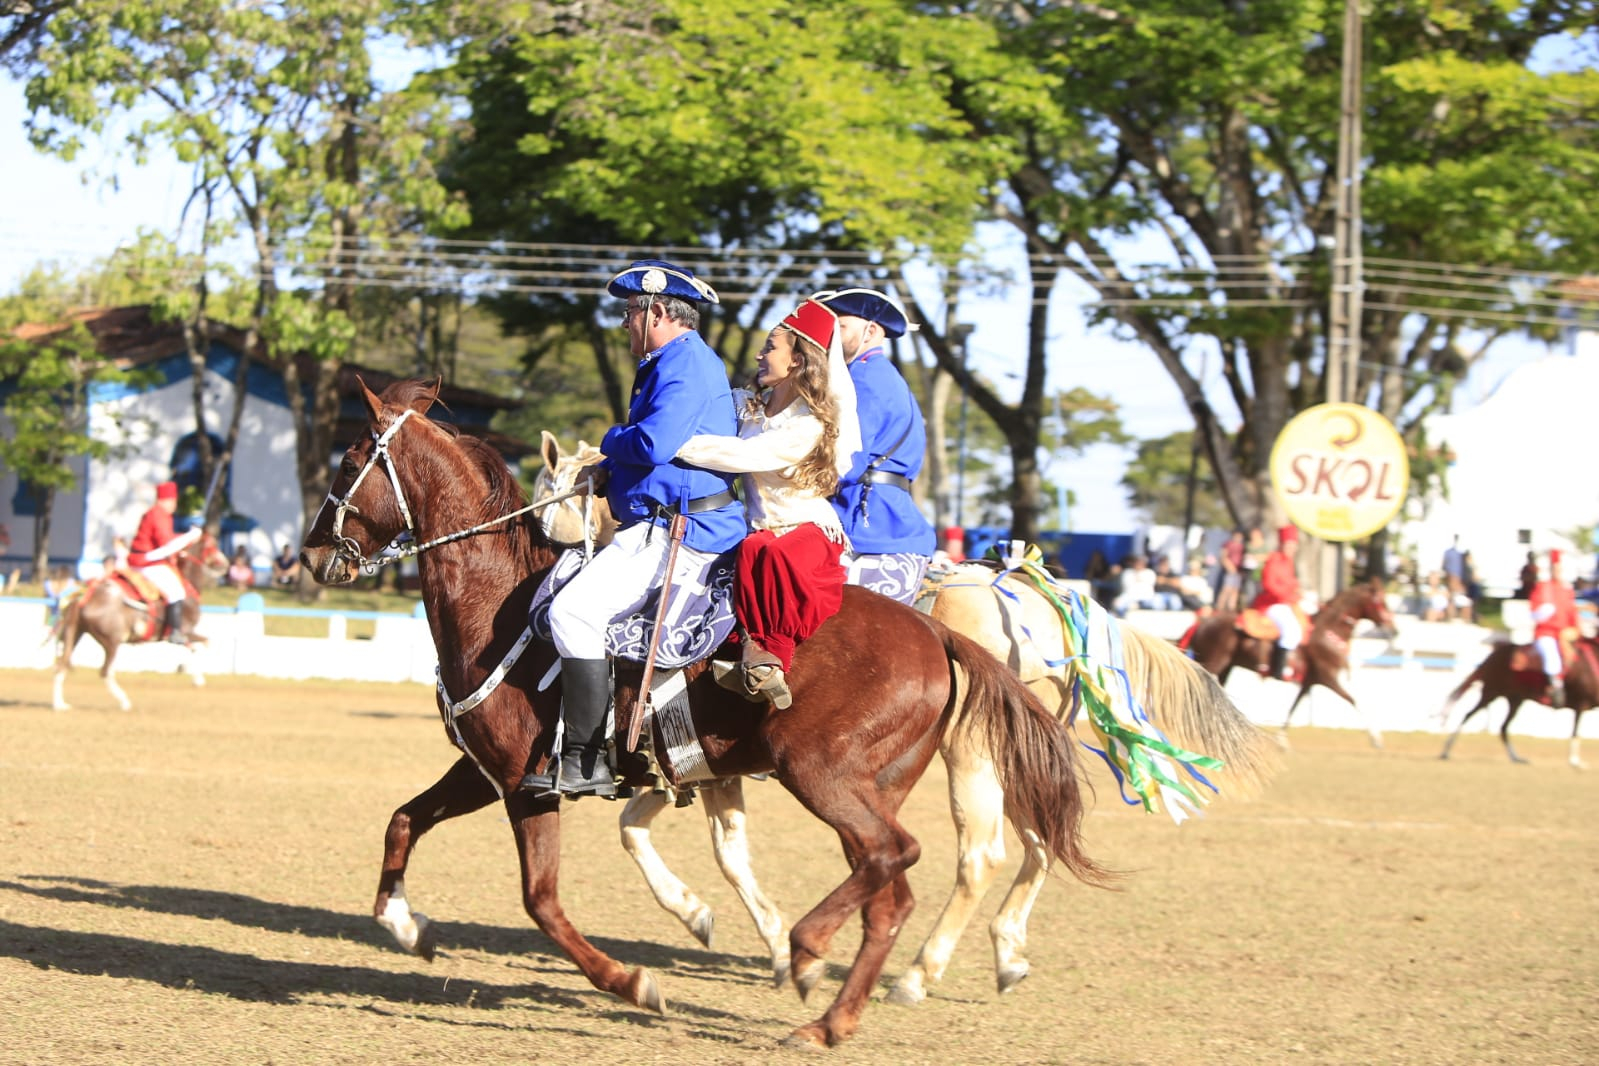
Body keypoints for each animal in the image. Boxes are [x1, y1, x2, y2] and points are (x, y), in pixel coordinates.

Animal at [50, 530, 227, 712]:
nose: (225, 564)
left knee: (61, 666)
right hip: (112, 641)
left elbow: (197, 646)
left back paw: (59, 704)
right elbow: (202, 645)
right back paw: (124, 702)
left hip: (75, 633)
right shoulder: (184, 632)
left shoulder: (182, 635)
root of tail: (85, 596)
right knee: (105, 672)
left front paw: (188, 670)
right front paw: (197, 677)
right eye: (212, 544)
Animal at [297, 378, 1112, 1048]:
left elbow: (545, 900)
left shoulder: (536, 786)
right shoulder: (490, 771)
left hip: (830, 771)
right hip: (877, 784)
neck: (498, 603)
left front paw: (636, 979)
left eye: (348, 460)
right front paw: (407, 926)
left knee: (920, 856)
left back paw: (821, 953)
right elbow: (404, 820)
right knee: (903, 887)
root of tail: (938, 628)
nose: (307, 558)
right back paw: (837, 1014)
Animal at [530, 428, 1279, 1003]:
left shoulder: (693, 759)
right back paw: (1005, 952)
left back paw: (918, 973)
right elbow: (679, 840)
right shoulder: (700, 765)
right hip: (1016, 753)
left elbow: (670, 838)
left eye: (548, 498)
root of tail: (1044, 593)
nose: (543, 547)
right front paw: (736, 931)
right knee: (1040, 843)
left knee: (980, 855)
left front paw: (745, 934)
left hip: (972, 755)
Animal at [1183, 578, 1394, 747]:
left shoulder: (1309, 680)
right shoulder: (1328, 677)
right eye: (1380, 602)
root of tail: (1203, 621)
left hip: (1225, 668)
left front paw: (1281, 740)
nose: (1394, 629)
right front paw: (1376, 738)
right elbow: (1353, 699)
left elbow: (1295, 705)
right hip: (1214, 663)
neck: (1327, 632)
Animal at [1439, 642, 1599, 767]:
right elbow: (1575, 732)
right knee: (1468, 715)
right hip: (1491, 693)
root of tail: (1493, 655)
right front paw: (1575, 761)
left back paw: (1516, 758)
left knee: (1503, 727)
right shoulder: (1580, 704)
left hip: (1515, 699)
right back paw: (1446, 751)